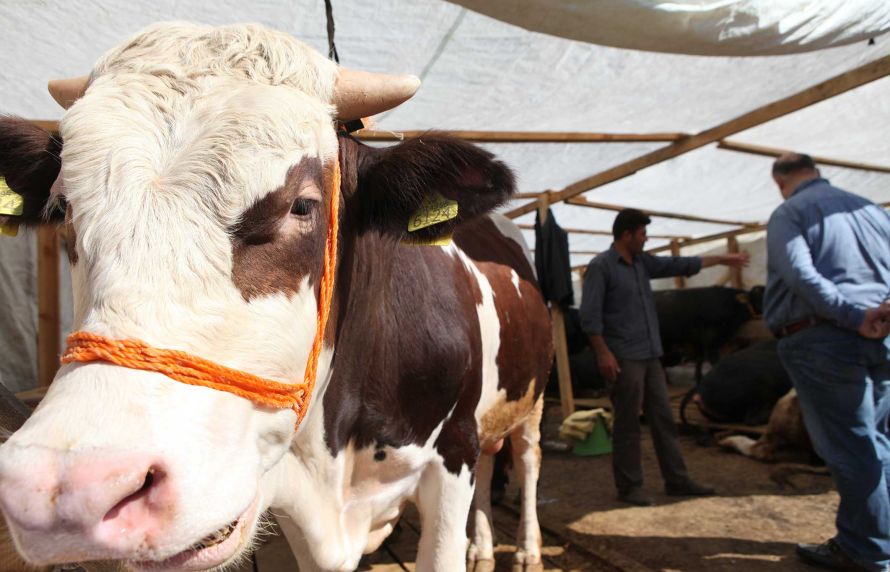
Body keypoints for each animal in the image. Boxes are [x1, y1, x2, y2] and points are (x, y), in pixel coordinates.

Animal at [0, 22, 552, 572]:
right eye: (63, 207)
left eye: (302, 205)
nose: (68, 488)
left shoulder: (453, 450)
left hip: (531, 401)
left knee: (526, 458)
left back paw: (525, 548)